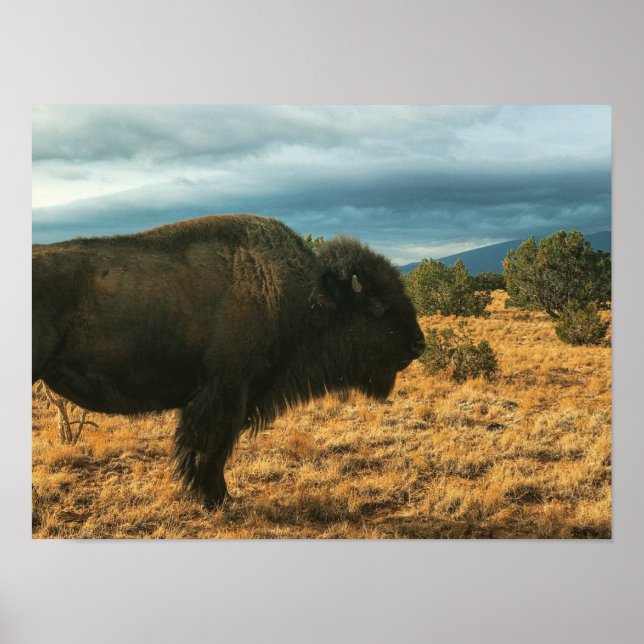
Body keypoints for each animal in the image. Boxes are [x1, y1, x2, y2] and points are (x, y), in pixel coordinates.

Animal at [33, 215, 426, 507]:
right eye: (377, 305)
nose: (418, 344)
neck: (300, 294)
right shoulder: (225, 394)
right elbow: (211, 450)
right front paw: (216, 499)